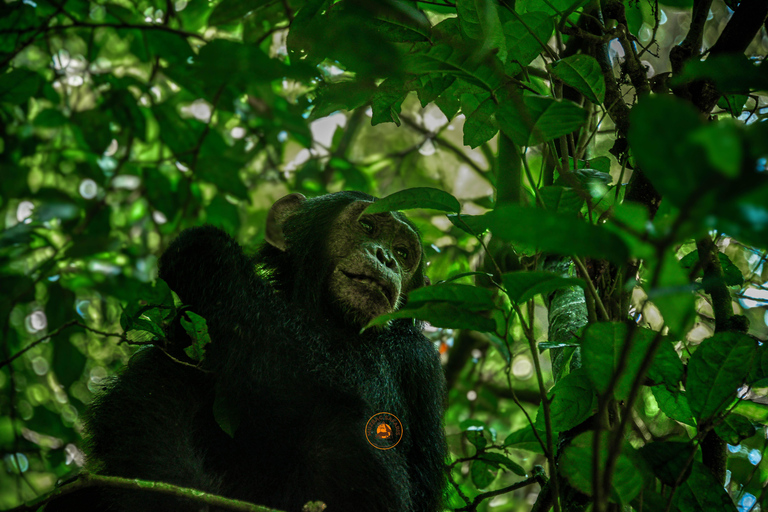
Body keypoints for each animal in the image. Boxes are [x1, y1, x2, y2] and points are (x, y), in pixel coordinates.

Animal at [68, 191, 448, 512]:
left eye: (403, 253)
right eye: (368, 226)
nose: (387, 257)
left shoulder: (411, 355)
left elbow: (353, 375)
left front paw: (209, 253)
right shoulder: (181, 340)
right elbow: (154, 409)